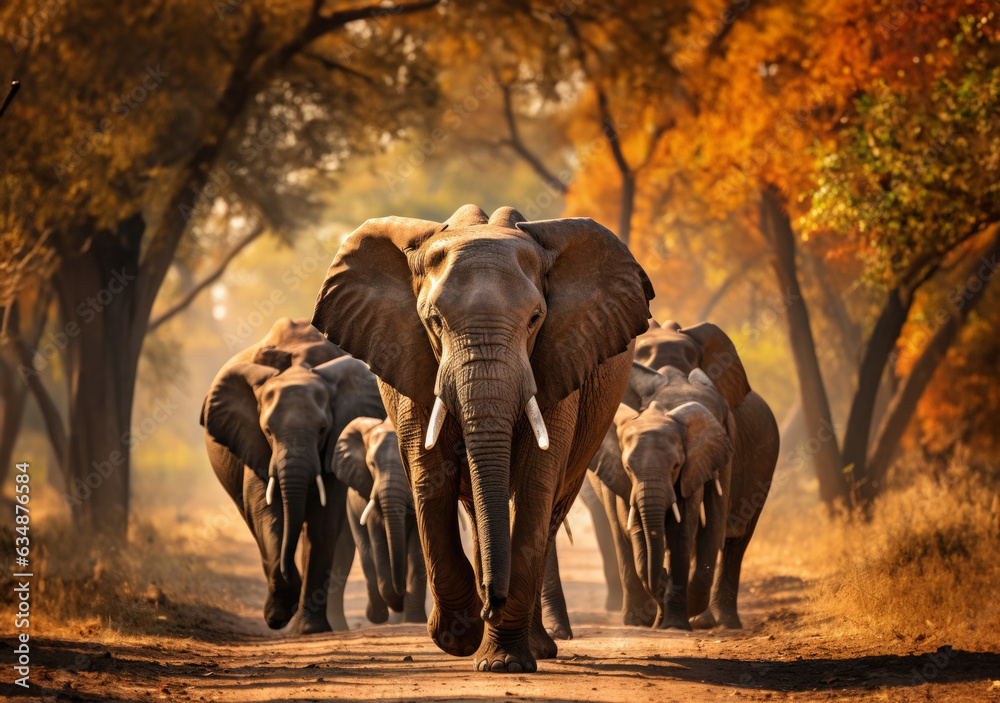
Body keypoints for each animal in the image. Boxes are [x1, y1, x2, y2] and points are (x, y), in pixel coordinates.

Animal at [200, 318, 386, 633]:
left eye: (323, 429)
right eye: (268, 430)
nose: (290, 574)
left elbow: (324, 521)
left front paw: (310, 629)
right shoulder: (253, 441)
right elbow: (265, 510)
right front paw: (278, 616)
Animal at [332, 416, 427, 624]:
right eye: (371, 464)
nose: (401, 591)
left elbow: (417, 548)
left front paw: (415, 620)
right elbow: (377, 540)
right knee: (367, 553)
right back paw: (375, 617)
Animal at [589, 365, 734, 629]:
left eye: (676, 465)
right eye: (627, 468)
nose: (664, 576)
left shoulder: (693, 466)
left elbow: (681, 532)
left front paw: (674, 625)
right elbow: (636, 532)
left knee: (715, 513)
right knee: (619, 532)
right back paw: (637, 621)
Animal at [629, 320, 780, 628]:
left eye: (719, 421)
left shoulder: (725, 441)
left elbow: (706, 522)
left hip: (766, 466)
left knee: (736, 539)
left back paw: (720, 622)